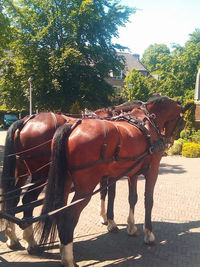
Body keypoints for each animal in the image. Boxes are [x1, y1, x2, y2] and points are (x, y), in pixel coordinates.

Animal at [36, 96, 191, 266]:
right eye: (181, 121)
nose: (169, 141)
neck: (149, 122)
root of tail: (72, 125)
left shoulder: (132, 173)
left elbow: (132, 198)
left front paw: (131, 227)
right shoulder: (152, 171)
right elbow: (148, 201)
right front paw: (148, 234)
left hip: (64, 182)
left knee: (60, 210)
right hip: (86, 187)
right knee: (68, 216)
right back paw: (68, 259)